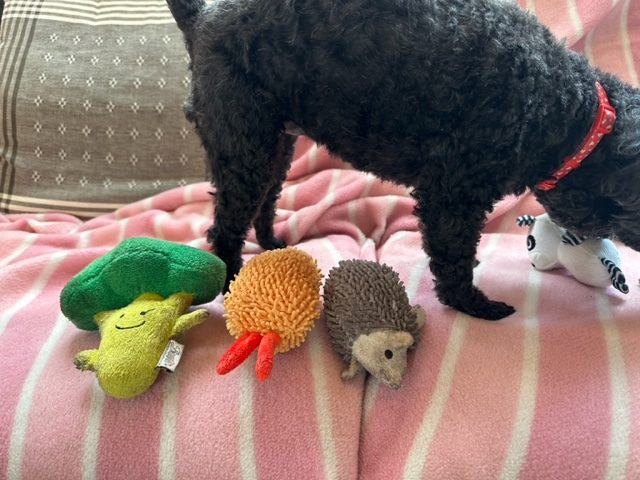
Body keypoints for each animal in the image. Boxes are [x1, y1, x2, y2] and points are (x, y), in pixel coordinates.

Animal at [166, 0, 640, 320]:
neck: (572, 115)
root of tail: (204, 18)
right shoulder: (452, 195)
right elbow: (453, 258)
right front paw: (474, 305)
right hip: (243, 141)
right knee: (224, 229)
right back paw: (231, 282)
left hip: (275, 142)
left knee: (266, 200)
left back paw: (272, 242)